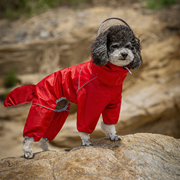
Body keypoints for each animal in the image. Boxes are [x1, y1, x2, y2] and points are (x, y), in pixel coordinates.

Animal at [3, 19, 142, 158]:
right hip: (42, 109)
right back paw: (28, 152)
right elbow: (85, 124)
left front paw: (112, 136)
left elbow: (110, 123)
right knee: (29, 136)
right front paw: (85, 141)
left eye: (129, 46)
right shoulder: (89, 103)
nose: (124, 54)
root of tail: (36, 86)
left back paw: (46, 150)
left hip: (58, 111)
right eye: (115, 46)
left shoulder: (113, 104)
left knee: (44, 136)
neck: (106, 75)